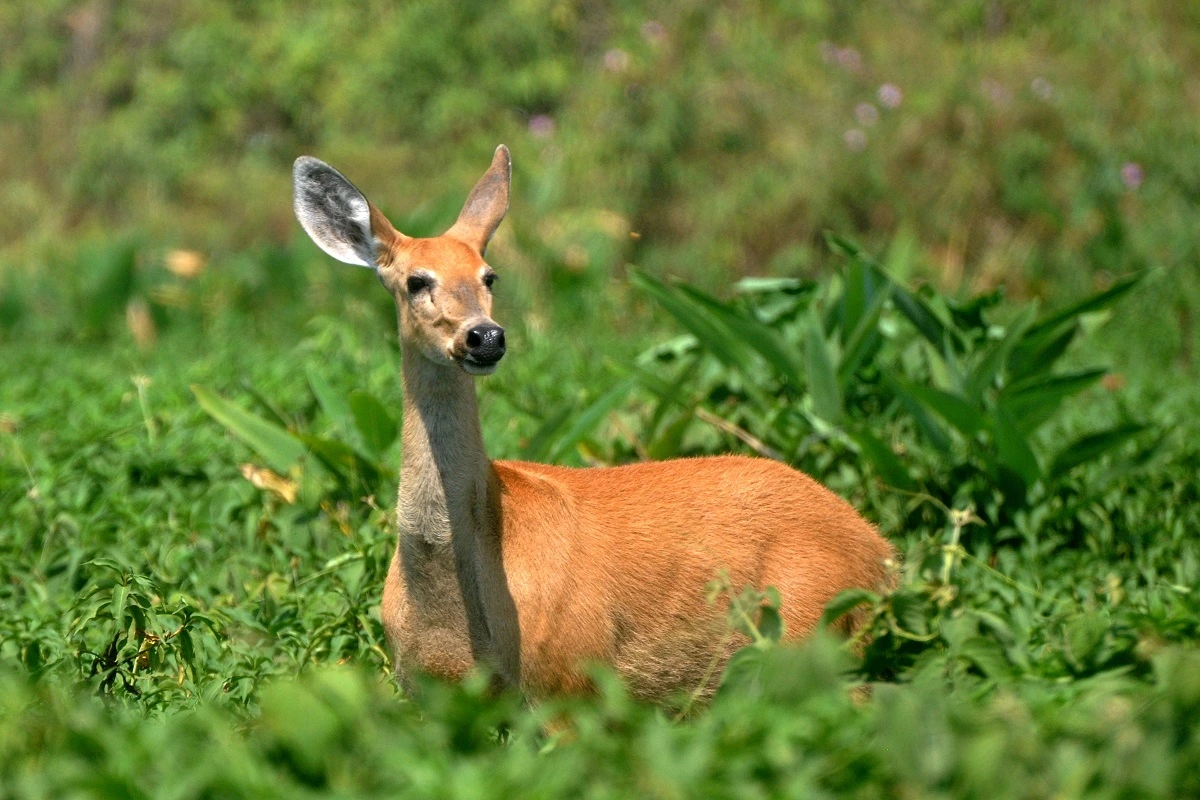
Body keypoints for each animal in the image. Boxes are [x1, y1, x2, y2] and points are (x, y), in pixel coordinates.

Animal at [290, 146, 892, 705]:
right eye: (416, 281)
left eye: (490, 276)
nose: (485, 337)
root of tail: (880, 550)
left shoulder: (571, 678)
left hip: (813, 630)